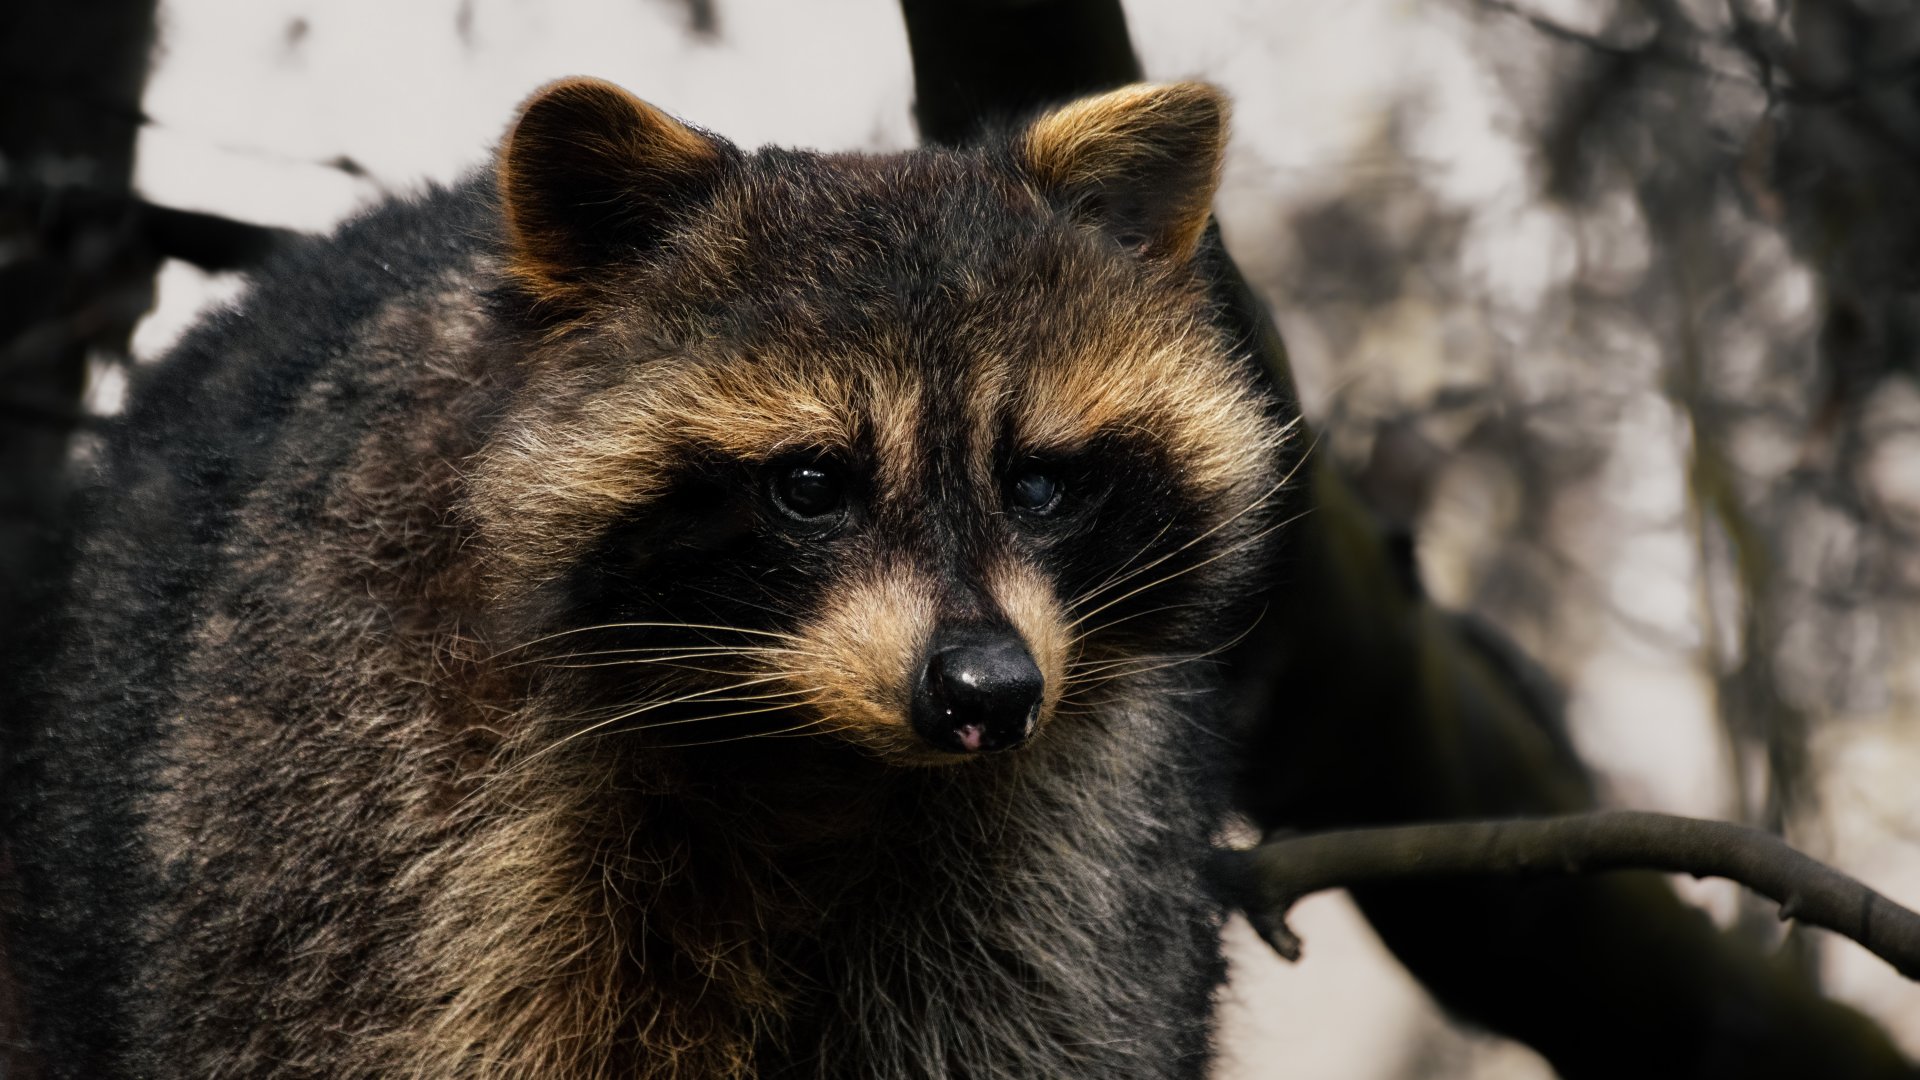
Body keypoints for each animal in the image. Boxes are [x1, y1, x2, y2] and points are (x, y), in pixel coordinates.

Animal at [3, 78, 1294, 1079]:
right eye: (812, 483)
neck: (803, 752)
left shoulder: (1065, 854)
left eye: (1038, 483)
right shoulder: (393, 824)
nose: (986, 692)